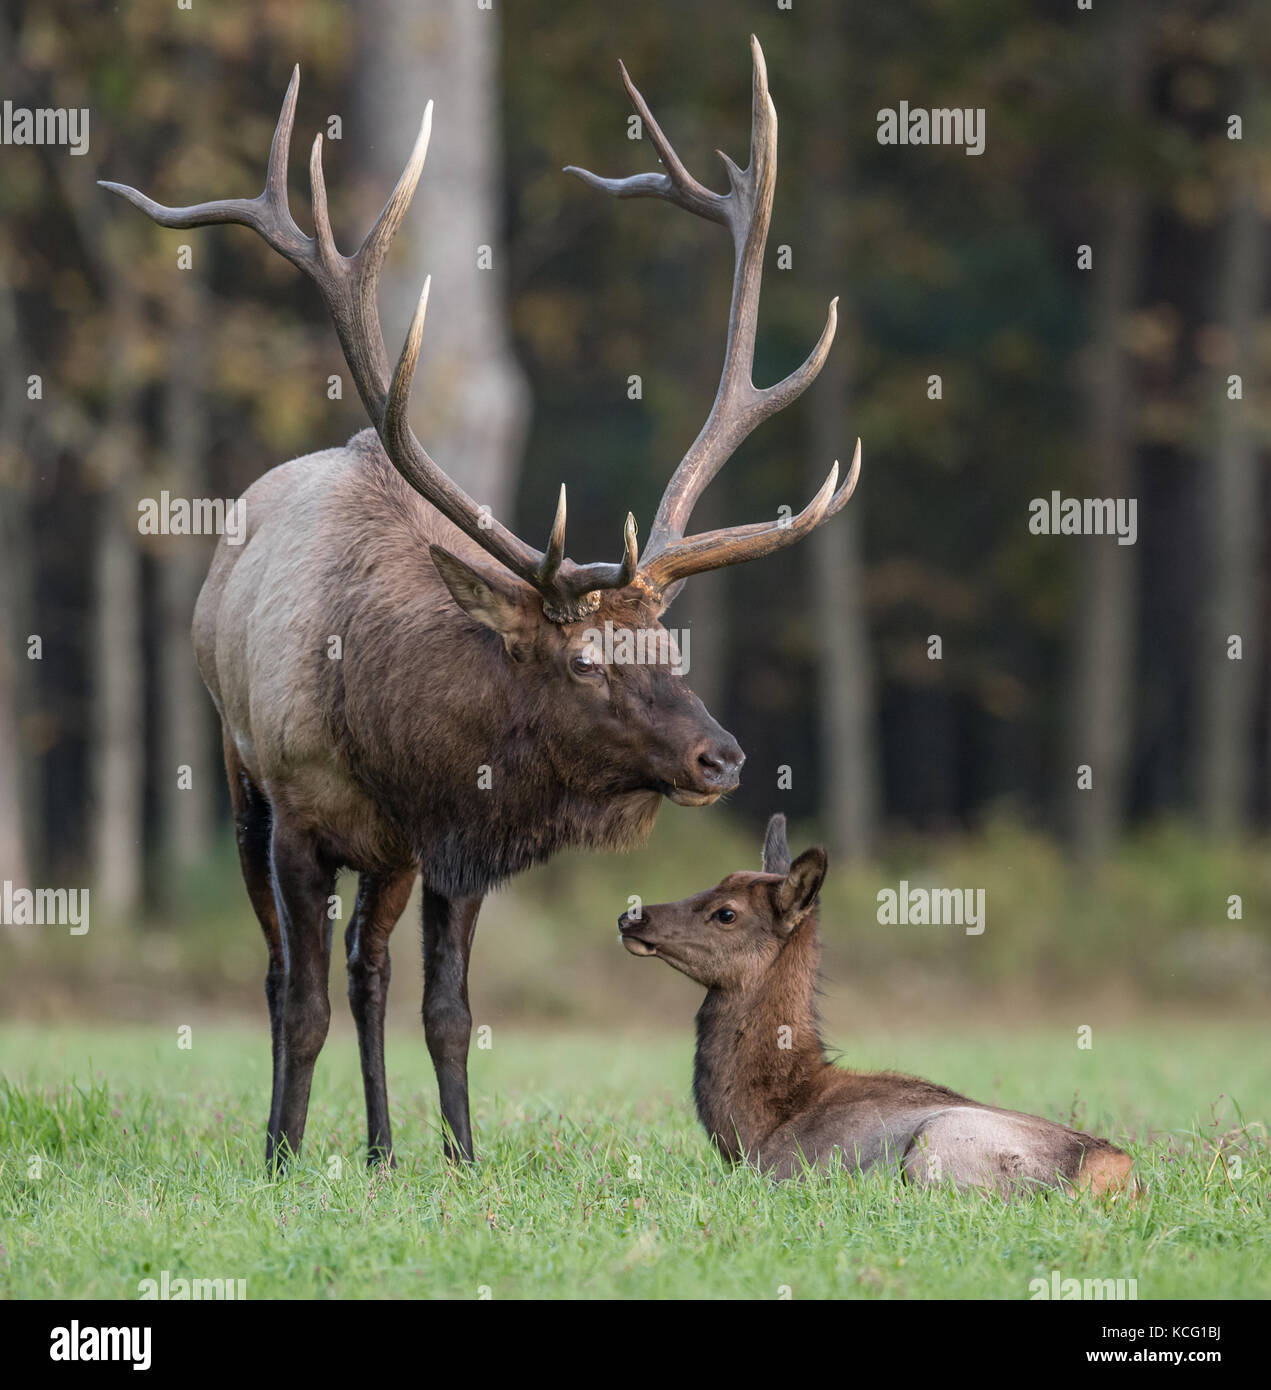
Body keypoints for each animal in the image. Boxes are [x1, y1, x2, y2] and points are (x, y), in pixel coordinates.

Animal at [99, 38, 860, 1170]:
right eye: (585, 661)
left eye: (667, 643)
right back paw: (306, 1139)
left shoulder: (447, 838)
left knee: (369, 969)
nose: (720, 757)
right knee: (293, 975)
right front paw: (281, 1157)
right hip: (240, 778)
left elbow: (447, 1011)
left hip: (387, 858)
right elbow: (297, 1002)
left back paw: (380, 1148)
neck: (384, 725)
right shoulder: (294, 814)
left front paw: (461, 1158)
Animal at [618, 815, 1139, 1195]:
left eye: (726, 912)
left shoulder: (779, 1172)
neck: (756, 1127)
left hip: (939, 1145)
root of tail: (1114, 1174)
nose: (631, 915)